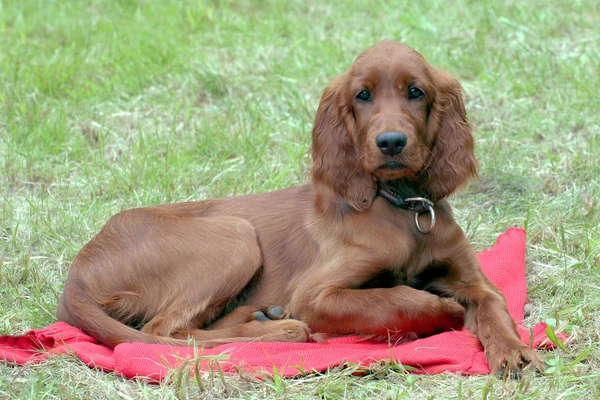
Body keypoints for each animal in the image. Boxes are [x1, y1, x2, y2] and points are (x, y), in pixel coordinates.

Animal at [59, 39, 544, 374]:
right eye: (363, 96)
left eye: (416, 92)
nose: (390, 142)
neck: (402, 205)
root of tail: (77, 273)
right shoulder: (314, 294)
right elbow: (396, 297)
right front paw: (443, 312)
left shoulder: (472, 279)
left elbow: (494, 305)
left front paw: (515, 351)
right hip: (235, 236)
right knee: (160, 332)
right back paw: (281, 327)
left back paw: (263, 316)